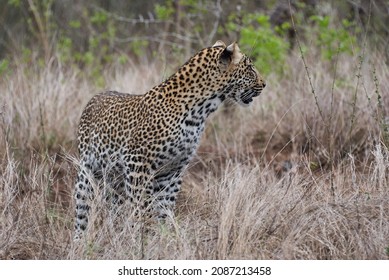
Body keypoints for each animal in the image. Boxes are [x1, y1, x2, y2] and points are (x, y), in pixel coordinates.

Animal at [74, 40, 266, 240]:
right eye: (250, 69)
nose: (264, 84)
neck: (200, 111)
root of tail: (95, 97)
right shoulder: (136, 162)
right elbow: (141, 207)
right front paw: (140, 237)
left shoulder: (173, 170)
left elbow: (164, 208)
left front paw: (162, 237)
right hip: (87, 174)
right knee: (82, 213)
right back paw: (80, 242)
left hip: (116, 178)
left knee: (115, 207)